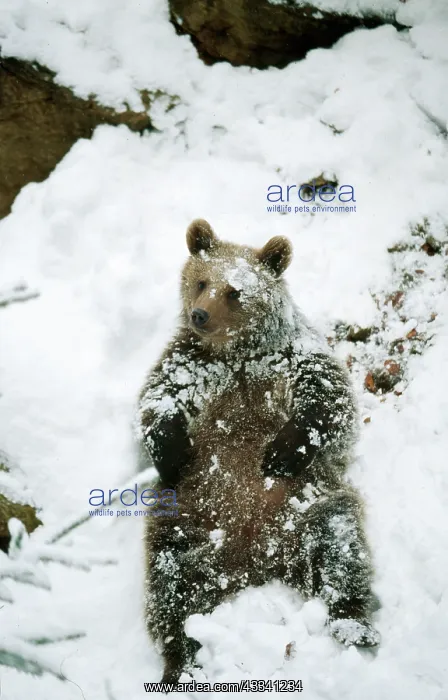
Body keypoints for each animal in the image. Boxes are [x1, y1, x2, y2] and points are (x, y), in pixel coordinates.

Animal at [138, 219, 380, 683]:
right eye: (202, 281)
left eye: (235, 291)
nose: (199, 315)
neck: (237, 352)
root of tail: (255, 560)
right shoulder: (191, 362)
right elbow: (158, 401)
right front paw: (171, 454)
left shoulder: (290, 358)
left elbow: (328, 400)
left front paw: (282, 451)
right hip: (185, 521)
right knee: (171, 586)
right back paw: (180, 660)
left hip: (308, 505)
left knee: (340, 547)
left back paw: (353, 622)